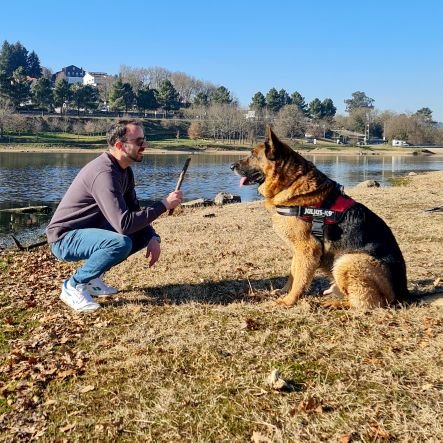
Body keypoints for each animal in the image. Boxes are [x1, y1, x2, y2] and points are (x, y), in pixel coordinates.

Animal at [232, 128, 410, 308]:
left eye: (253, 155)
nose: (231, 166)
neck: (292, 182)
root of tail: (403, 293)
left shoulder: (308, 249)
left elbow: (299, 279)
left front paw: (289, 300)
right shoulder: (298, 251)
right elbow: (293, 273)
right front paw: (284, 291)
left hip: (348, 261)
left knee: (365, 302)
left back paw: (334, 304)